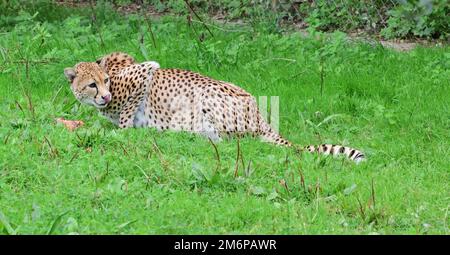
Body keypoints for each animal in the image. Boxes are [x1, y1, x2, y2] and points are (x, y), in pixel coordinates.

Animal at [64, 52, 366, 162]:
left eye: (104, 82)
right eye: (91, 85)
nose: (104, 97)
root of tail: (261, 117)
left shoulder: (144, 71)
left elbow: (127, 114)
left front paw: (126, 131)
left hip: (207, 97)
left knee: (230, 141)